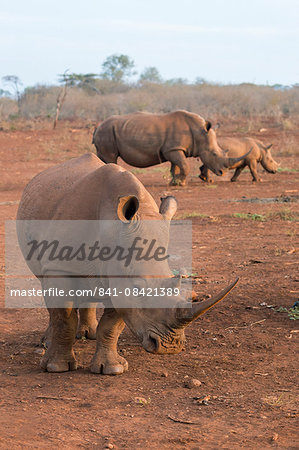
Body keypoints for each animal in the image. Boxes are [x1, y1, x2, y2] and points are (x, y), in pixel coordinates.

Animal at [92, 110, 252, 186]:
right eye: (213, 154)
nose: (223, 173)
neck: (199, 133)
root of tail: (98, 126)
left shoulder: (173, 149)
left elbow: (175, 167)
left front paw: (174, 183)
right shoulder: (174, 149)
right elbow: (185, 166)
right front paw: (180, 183)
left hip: (107, 131)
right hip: (107, 132)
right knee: (111, 158)